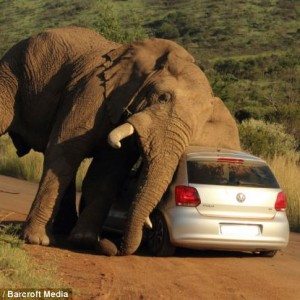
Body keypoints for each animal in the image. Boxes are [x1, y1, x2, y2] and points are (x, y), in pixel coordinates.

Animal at [0, 26, 240, 255]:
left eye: (202, 122)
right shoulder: (92, 92)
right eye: (163, 97)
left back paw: (63, 231)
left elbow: (108, 170)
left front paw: (85, 240)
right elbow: (65, 151)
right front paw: (37, 240)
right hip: (11, 72)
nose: (108, 244)